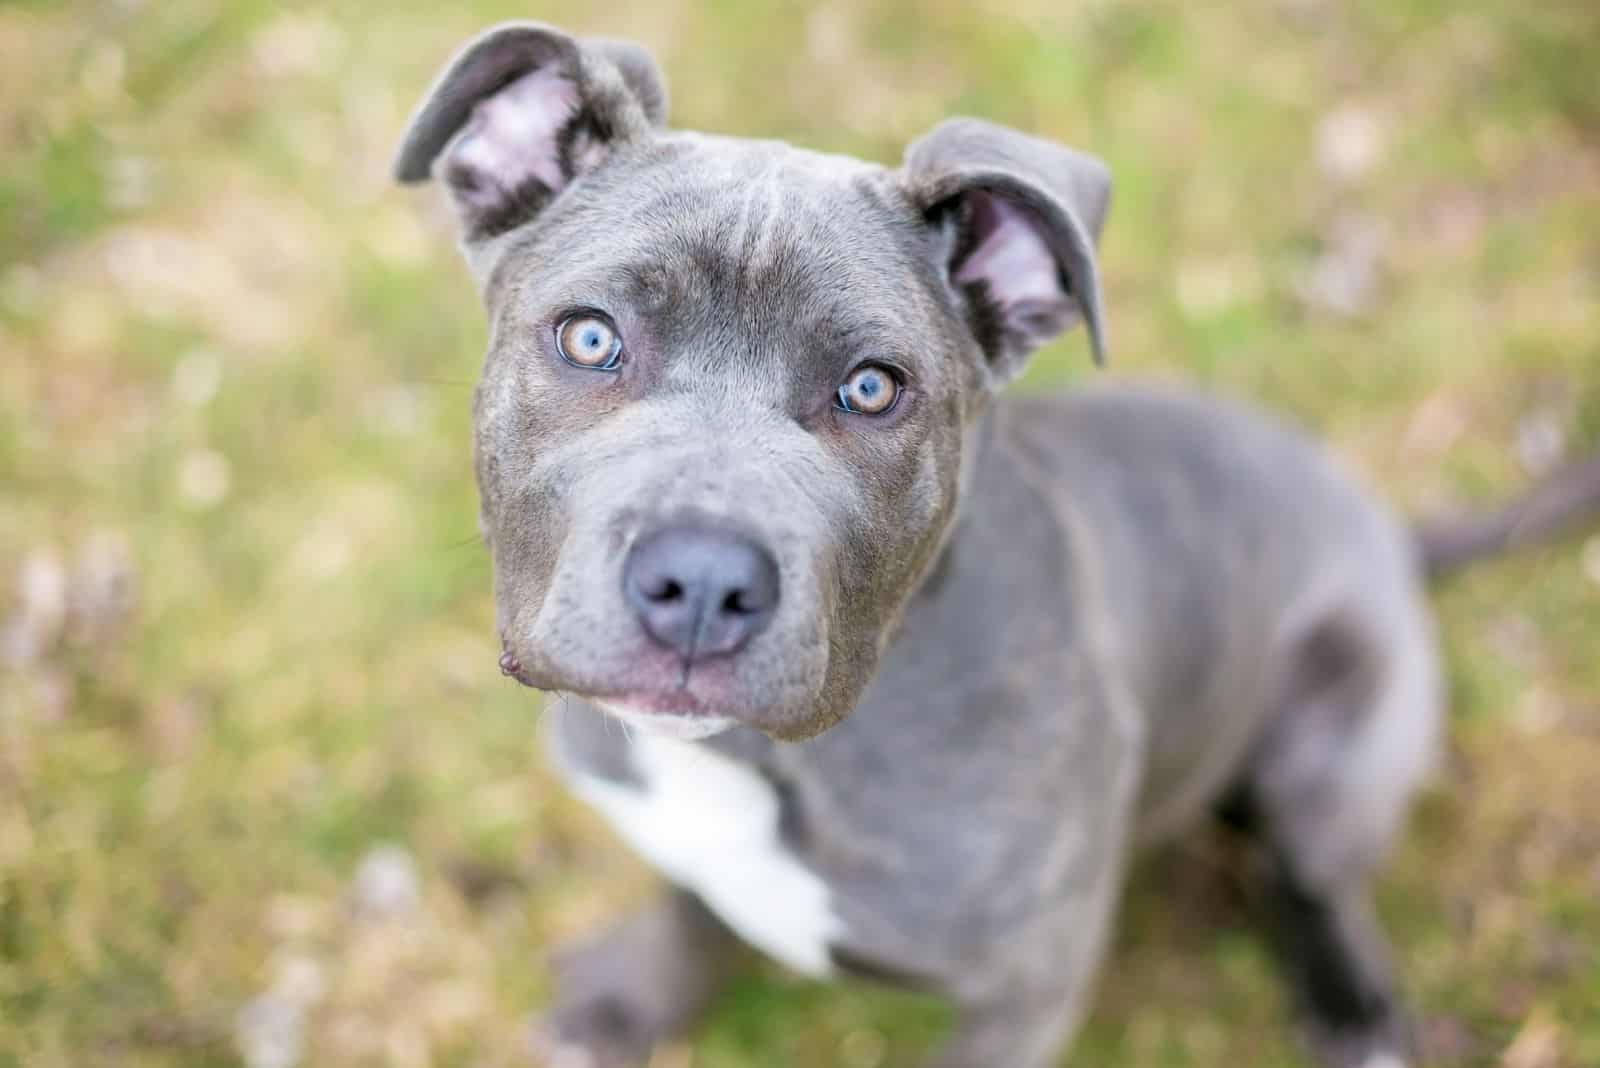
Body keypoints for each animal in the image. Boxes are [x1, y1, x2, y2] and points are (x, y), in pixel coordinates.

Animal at [396, 24, 1600, 1068]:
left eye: (871, 389)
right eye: (590, 336)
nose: (700, 583)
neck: (763, 764)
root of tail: (1387, 533)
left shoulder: (1027, 987)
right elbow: (687, 902)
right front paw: (630, 1002)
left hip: (1336, 743)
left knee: (1314, 879)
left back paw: (1354, 1008)